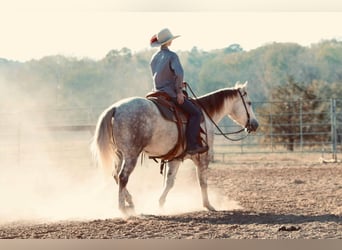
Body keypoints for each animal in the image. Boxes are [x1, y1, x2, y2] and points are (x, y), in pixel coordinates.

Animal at [91, 81, 256, 214]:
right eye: (249, 102)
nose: (255, 124)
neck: (205, 114)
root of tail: (115, 108)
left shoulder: (175, 158)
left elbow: (169, 182)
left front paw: (160, 204)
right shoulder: (203, 157)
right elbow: (202, 181)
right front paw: (208, 205)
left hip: (120, 154)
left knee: (116, 175)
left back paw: (130, 202)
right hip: (131, 154)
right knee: (123, 177)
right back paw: (122, 209)